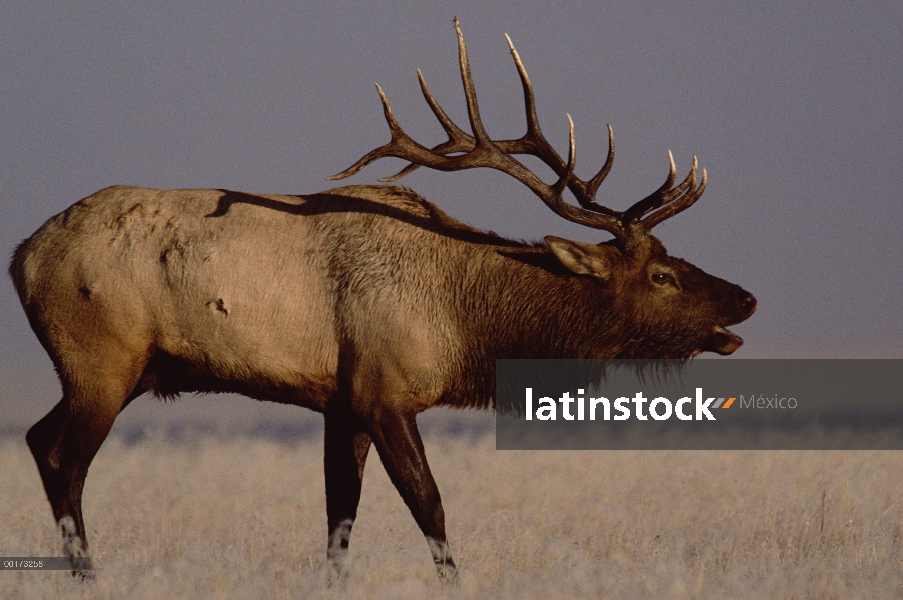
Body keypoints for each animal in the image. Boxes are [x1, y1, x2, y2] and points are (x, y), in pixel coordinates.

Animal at [10, 18, 756, 580]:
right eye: (660, 275)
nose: (744, 298)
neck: (466, 324)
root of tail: (22, 256)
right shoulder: (383, 390)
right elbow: (431, 509)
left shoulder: (340, 403)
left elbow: (339, 523)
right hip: (100, 360)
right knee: (64, 458)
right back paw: (88, 575)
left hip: (122, 371)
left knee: (37, 438)